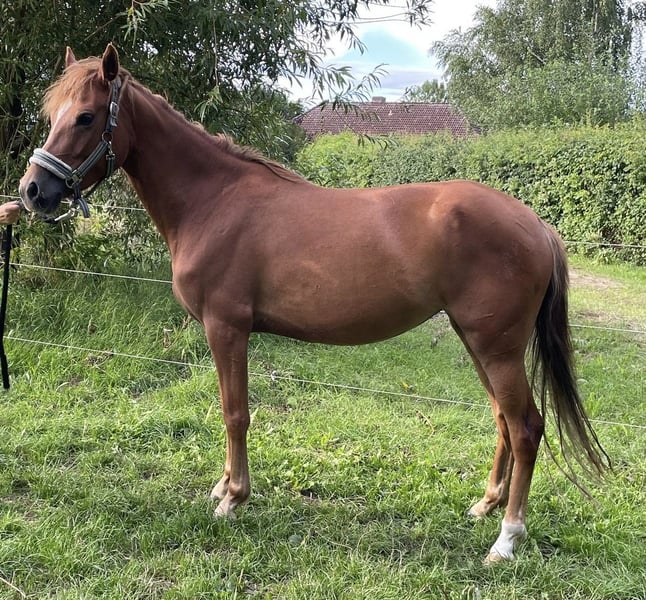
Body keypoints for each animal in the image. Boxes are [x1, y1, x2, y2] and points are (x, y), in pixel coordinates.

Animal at [19, 44, 608, 563]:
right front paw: (224, 487)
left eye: (86, 117)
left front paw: (233, 498)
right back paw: (484, 506)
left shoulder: (226, 328)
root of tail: (536, 224)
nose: (32, 191)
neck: (214, 201)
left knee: (526, 427)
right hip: (478, 341)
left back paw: (506, 540)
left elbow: (235, 412)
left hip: (497, 348)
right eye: (51, 114)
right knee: (504, 421)